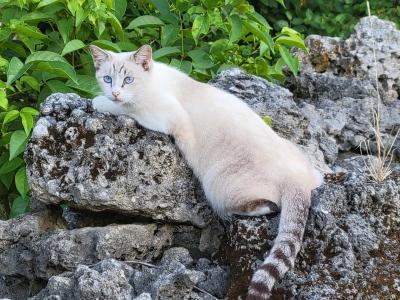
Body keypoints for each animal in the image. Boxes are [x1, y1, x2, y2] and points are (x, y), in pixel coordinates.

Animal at [90, 44, 322, 300]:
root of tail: (297, 178)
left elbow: (124, 108)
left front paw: (98, 101)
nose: (115, 93)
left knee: (263, 206)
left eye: (128, 80)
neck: (154, 81)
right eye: (108, 79)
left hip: (216, 185)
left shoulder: (161, 115)